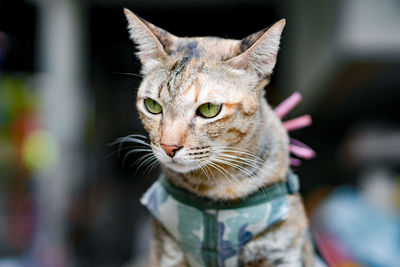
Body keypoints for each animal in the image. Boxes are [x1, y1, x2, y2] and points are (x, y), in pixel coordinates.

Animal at [123, 8, 318, 267]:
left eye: (209, 110)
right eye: (152, 105)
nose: (168, 146)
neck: (213, 191)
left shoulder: (281, 251)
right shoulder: (167, 252)